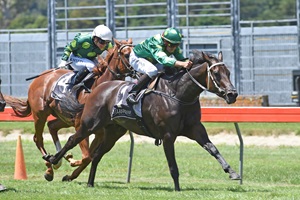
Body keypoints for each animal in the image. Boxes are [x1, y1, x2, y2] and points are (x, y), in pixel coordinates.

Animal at [3, 38, 134, 182]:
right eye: (127, 54)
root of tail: (39, 78)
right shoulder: (81, 127)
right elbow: (86, 156)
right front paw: (69, 160)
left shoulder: (100, 133)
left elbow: (89, 157)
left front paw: (69, 170)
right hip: (40, 114)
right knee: (38, 139)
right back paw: (49, 168)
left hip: (64, 118)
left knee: (52, 126)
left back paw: (57, 161)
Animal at [46, 50, 239, 191]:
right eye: (216, 73)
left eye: (228, 72)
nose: (232, 94)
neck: (178, 94)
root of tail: (97, 88)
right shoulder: (168, 135)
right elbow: (173, 165)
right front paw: (177, 189)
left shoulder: (195, 129)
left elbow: (212, 148)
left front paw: (232, 172)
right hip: (89, 124)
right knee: (72, 140)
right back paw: (53, 160)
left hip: (113, 132)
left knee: (97, 155)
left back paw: (90, 182)